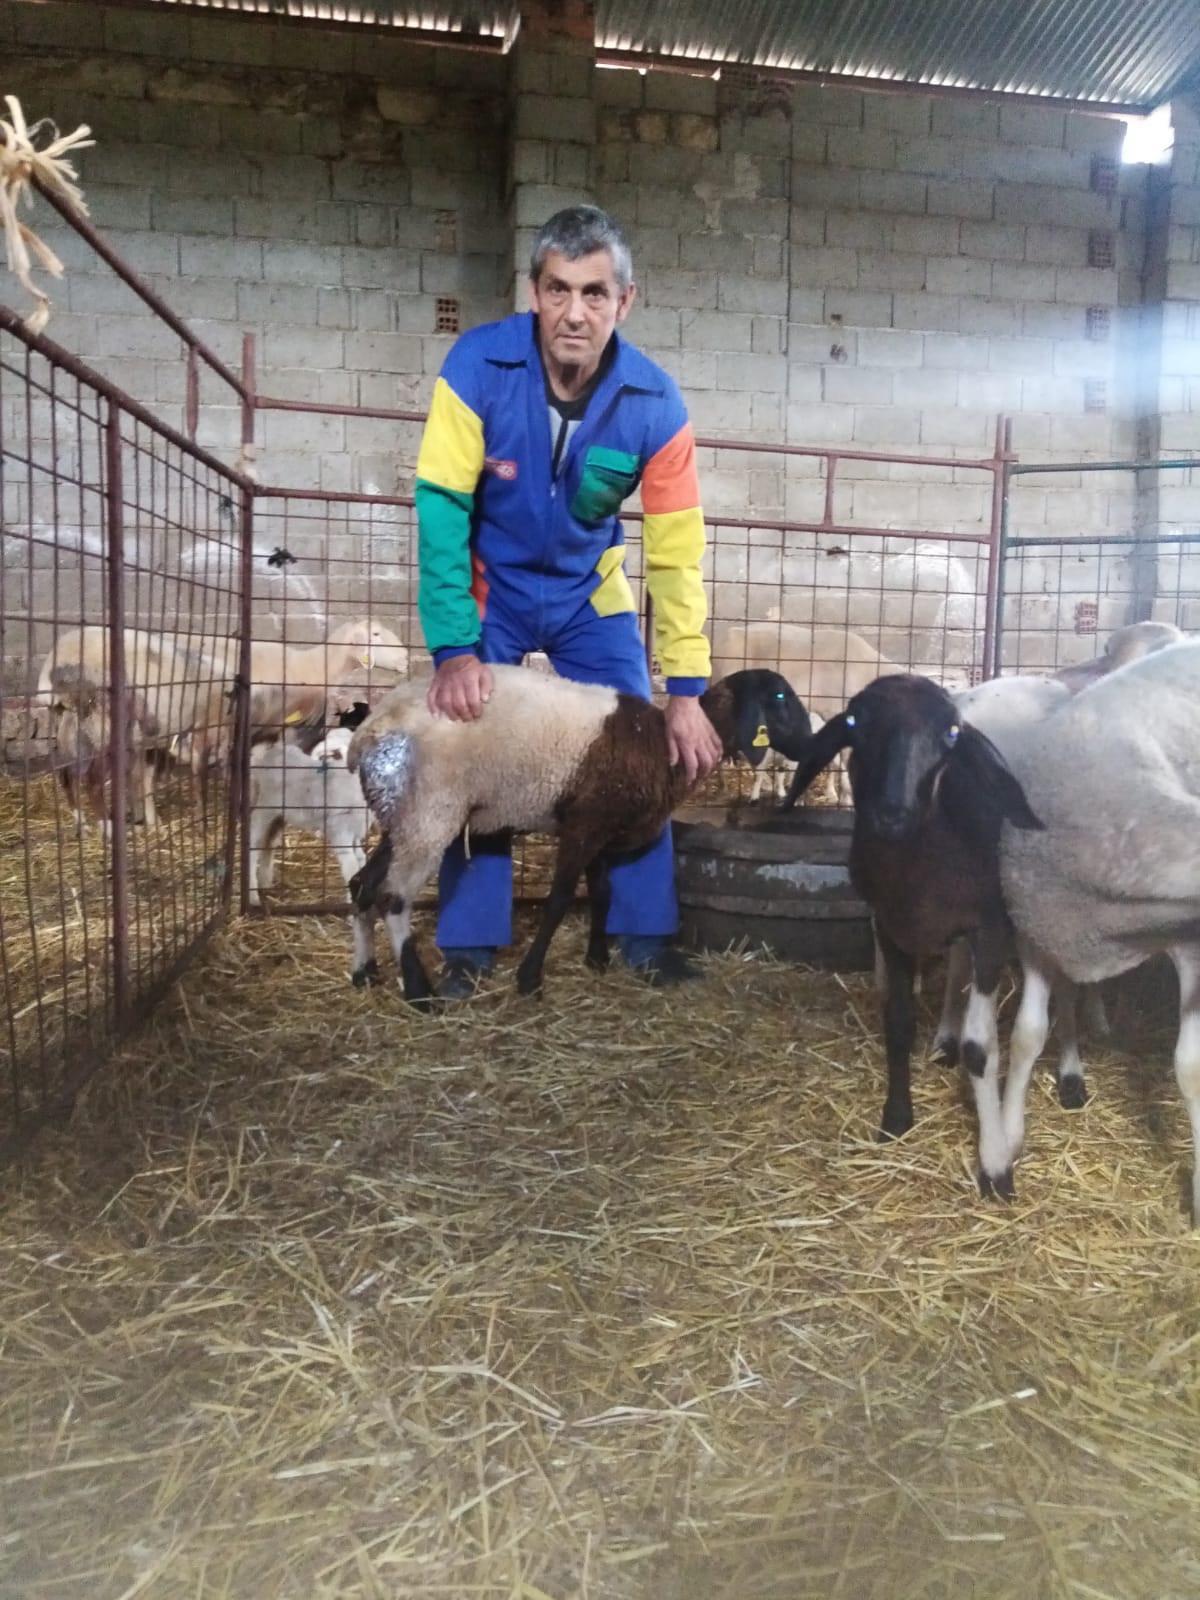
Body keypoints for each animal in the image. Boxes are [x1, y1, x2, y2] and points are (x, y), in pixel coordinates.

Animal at [347, 662, 819, 998]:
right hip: (430, 813)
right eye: (780, 696)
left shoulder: (604, 832)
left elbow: (603, 894)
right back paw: (418, 991)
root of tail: (369, 733)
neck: (659, 744)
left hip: (403, 818)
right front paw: (530, 978)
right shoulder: (582, 825)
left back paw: (364, 971)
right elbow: (558, 901)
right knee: (392, 897)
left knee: (362, 885)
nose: (808, 747)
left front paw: (598, 959)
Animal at [780, 672, 1043, 1190]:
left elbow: (981, 1047)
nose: (892, 813)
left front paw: (994, 1163)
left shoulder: (990, 929)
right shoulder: (892, 926)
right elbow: (899, 1023)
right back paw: (943, 1039)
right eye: (855, 722)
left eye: (952, 733)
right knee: (956, 969)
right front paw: (897, 1118)